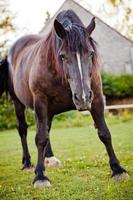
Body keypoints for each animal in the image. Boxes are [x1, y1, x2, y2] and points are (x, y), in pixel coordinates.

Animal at [0, 9, 127, 188]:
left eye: (91, 53)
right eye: (62, 56)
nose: (82, 98)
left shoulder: (96, 99)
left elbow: (104, 133)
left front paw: (117, 169)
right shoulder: (40, 101)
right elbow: (40, 137)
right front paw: (40, 176)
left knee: (46, 128)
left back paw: (50, 158)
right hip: (18, 103)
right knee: (23, 129)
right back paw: (27, 163)